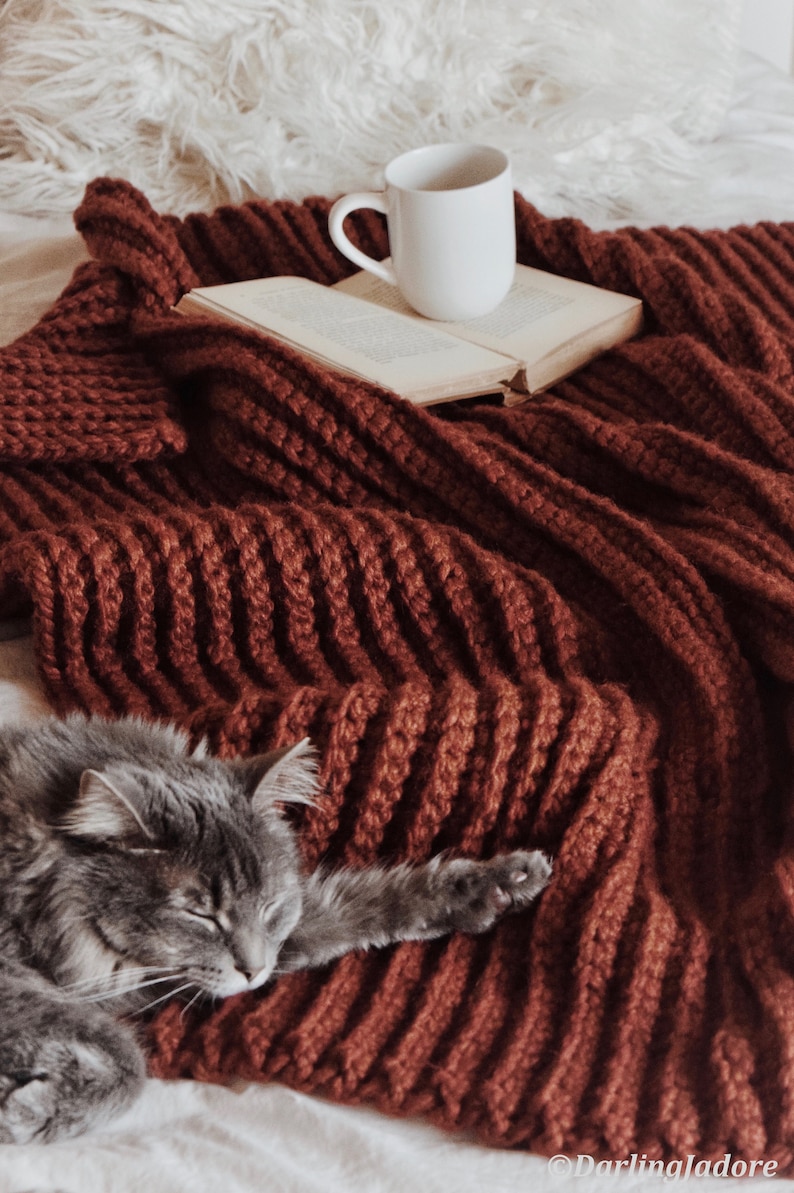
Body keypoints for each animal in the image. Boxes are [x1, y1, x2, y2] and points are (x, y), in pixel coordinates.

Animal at [0, 711, 548, 1140]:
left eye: (269, 906)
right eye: (200, 914)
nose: (254, 972)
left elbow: (368, 900)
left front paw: (500, 883)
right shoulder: (18, 981)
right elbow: (124, 1056)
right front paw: (30, 1109)